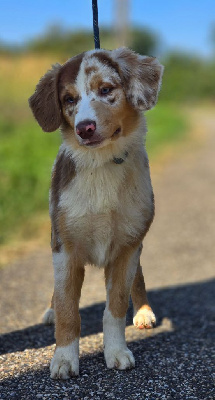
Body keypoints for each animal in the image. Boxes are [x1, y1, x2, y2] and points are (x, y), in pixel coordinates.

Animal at [28, 48, 163, 380]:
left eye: (106, 89)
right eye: (69, 99)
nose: (84, 128)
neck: (101, 164)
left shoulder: (128, 245)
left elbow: (115, 306)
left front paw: (116, 351)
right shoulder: (64, 247)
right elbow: (68, 309)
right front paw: (64, 358)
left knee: (138, 279)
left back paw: (143, 311)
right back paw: (50, 311)